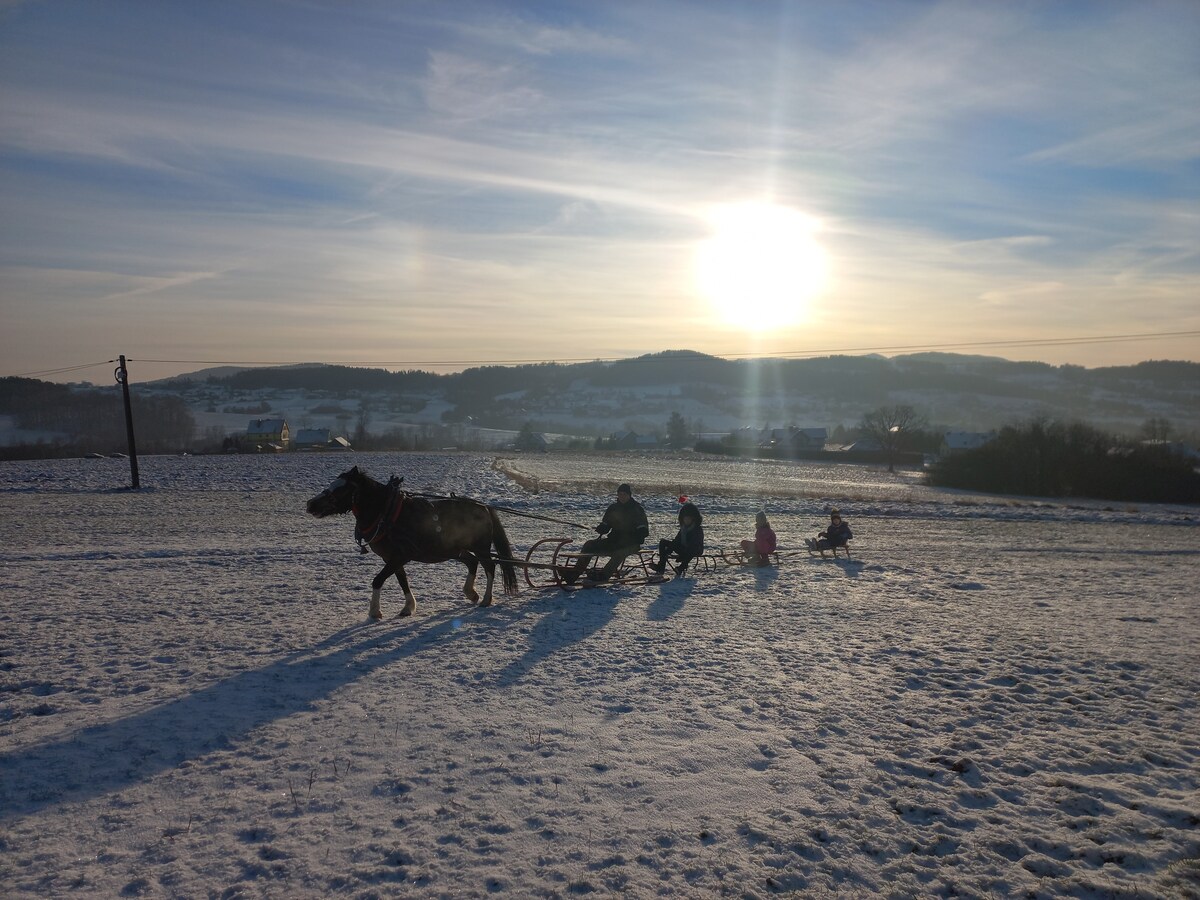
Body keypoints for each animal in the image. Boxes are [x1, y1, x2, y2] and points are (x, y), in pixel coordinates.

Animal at [307, 465, 518, 619]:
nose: (310, 504)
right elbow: (402, 580)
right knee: (472, 562)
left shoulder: (402, 555)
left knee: (489, 566)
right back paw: (471, 593)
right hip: (454, 550)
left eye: (342, 488)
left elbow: (378, 580)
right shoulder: (391, 558)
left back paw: (486, 599)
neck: (386, 513)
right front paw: (408, 607)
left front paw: (375, 611)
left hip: (481, 548)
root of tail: (483, 506)